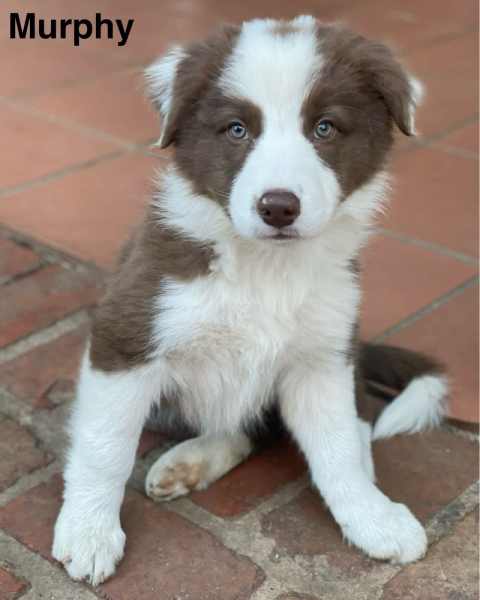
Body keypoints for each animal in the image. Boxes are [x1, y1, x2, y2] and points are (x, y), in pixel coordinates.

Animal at [51, 16, 446, 584]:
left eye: (324, 128)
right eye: (237, 130)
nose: (278, 207)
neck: (266, 269)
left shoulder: (321, 358)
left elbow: (338, 449)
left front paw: (372, 518)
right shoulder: (127, 334)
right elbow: (104, 446)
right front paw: (89, 531)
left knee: (326, 425)